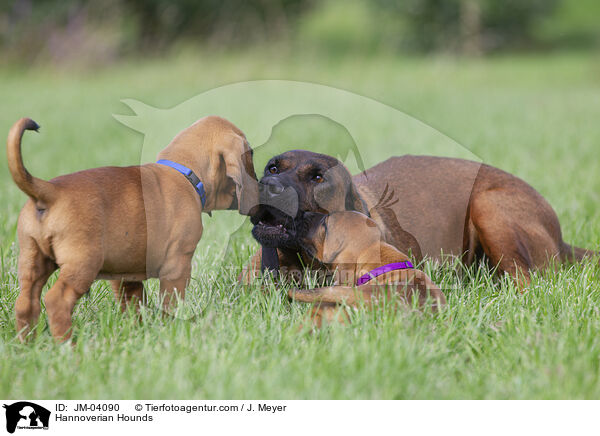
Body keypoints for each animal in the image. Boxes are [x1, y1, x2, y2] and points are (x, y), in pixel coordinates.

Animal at [7, 116, 256, 340]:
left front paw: (139, 331)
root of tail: (50, 191)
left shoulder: (125, 274)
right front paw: (170, 330)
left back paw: (27, 346)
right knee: (56, 301)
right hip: (83, 264)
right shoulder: (177, 266)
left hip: (32, 261)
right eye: (251, 154)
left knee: (25, 303)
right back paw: (68, 347)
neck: (184, 173)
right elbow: (170, 304)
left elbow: (136, 305)